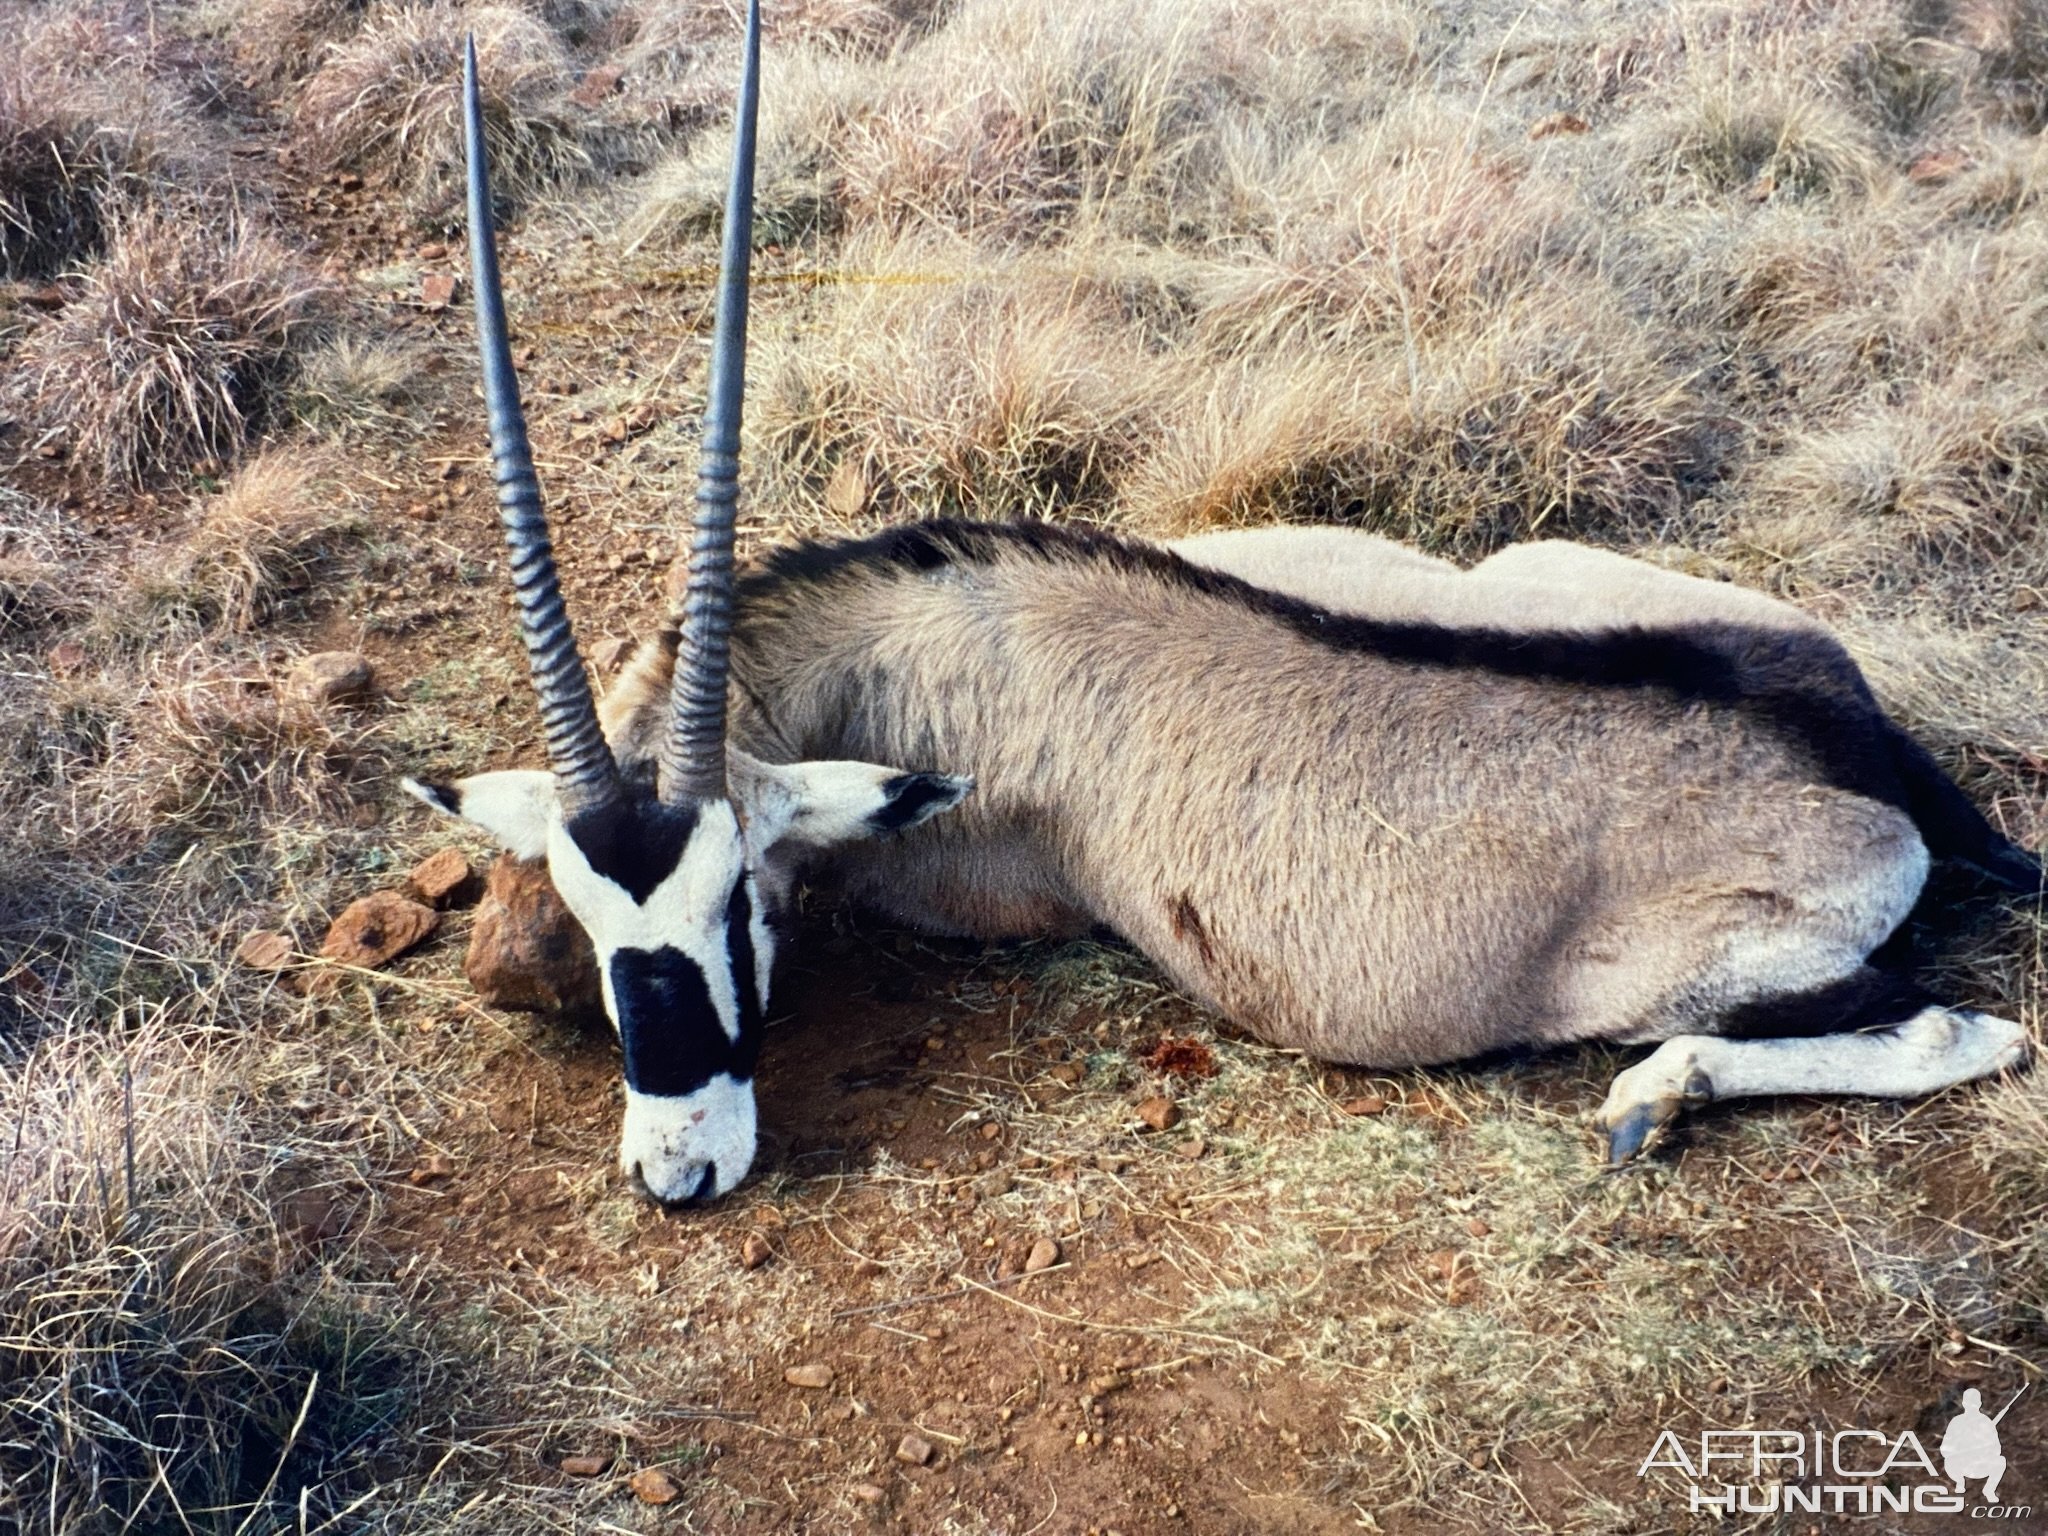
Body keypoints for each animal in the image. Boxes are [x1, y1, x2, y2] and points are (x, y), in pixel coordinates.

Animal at [407, 9, 2039, 1212]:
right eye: (592, 915)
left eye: (739, 901)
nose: (679, 1175)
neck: (929, 639)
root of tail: (1856, 754)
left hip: (1691, 982)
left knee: (1955, 1026)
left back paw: (1652, 1100)